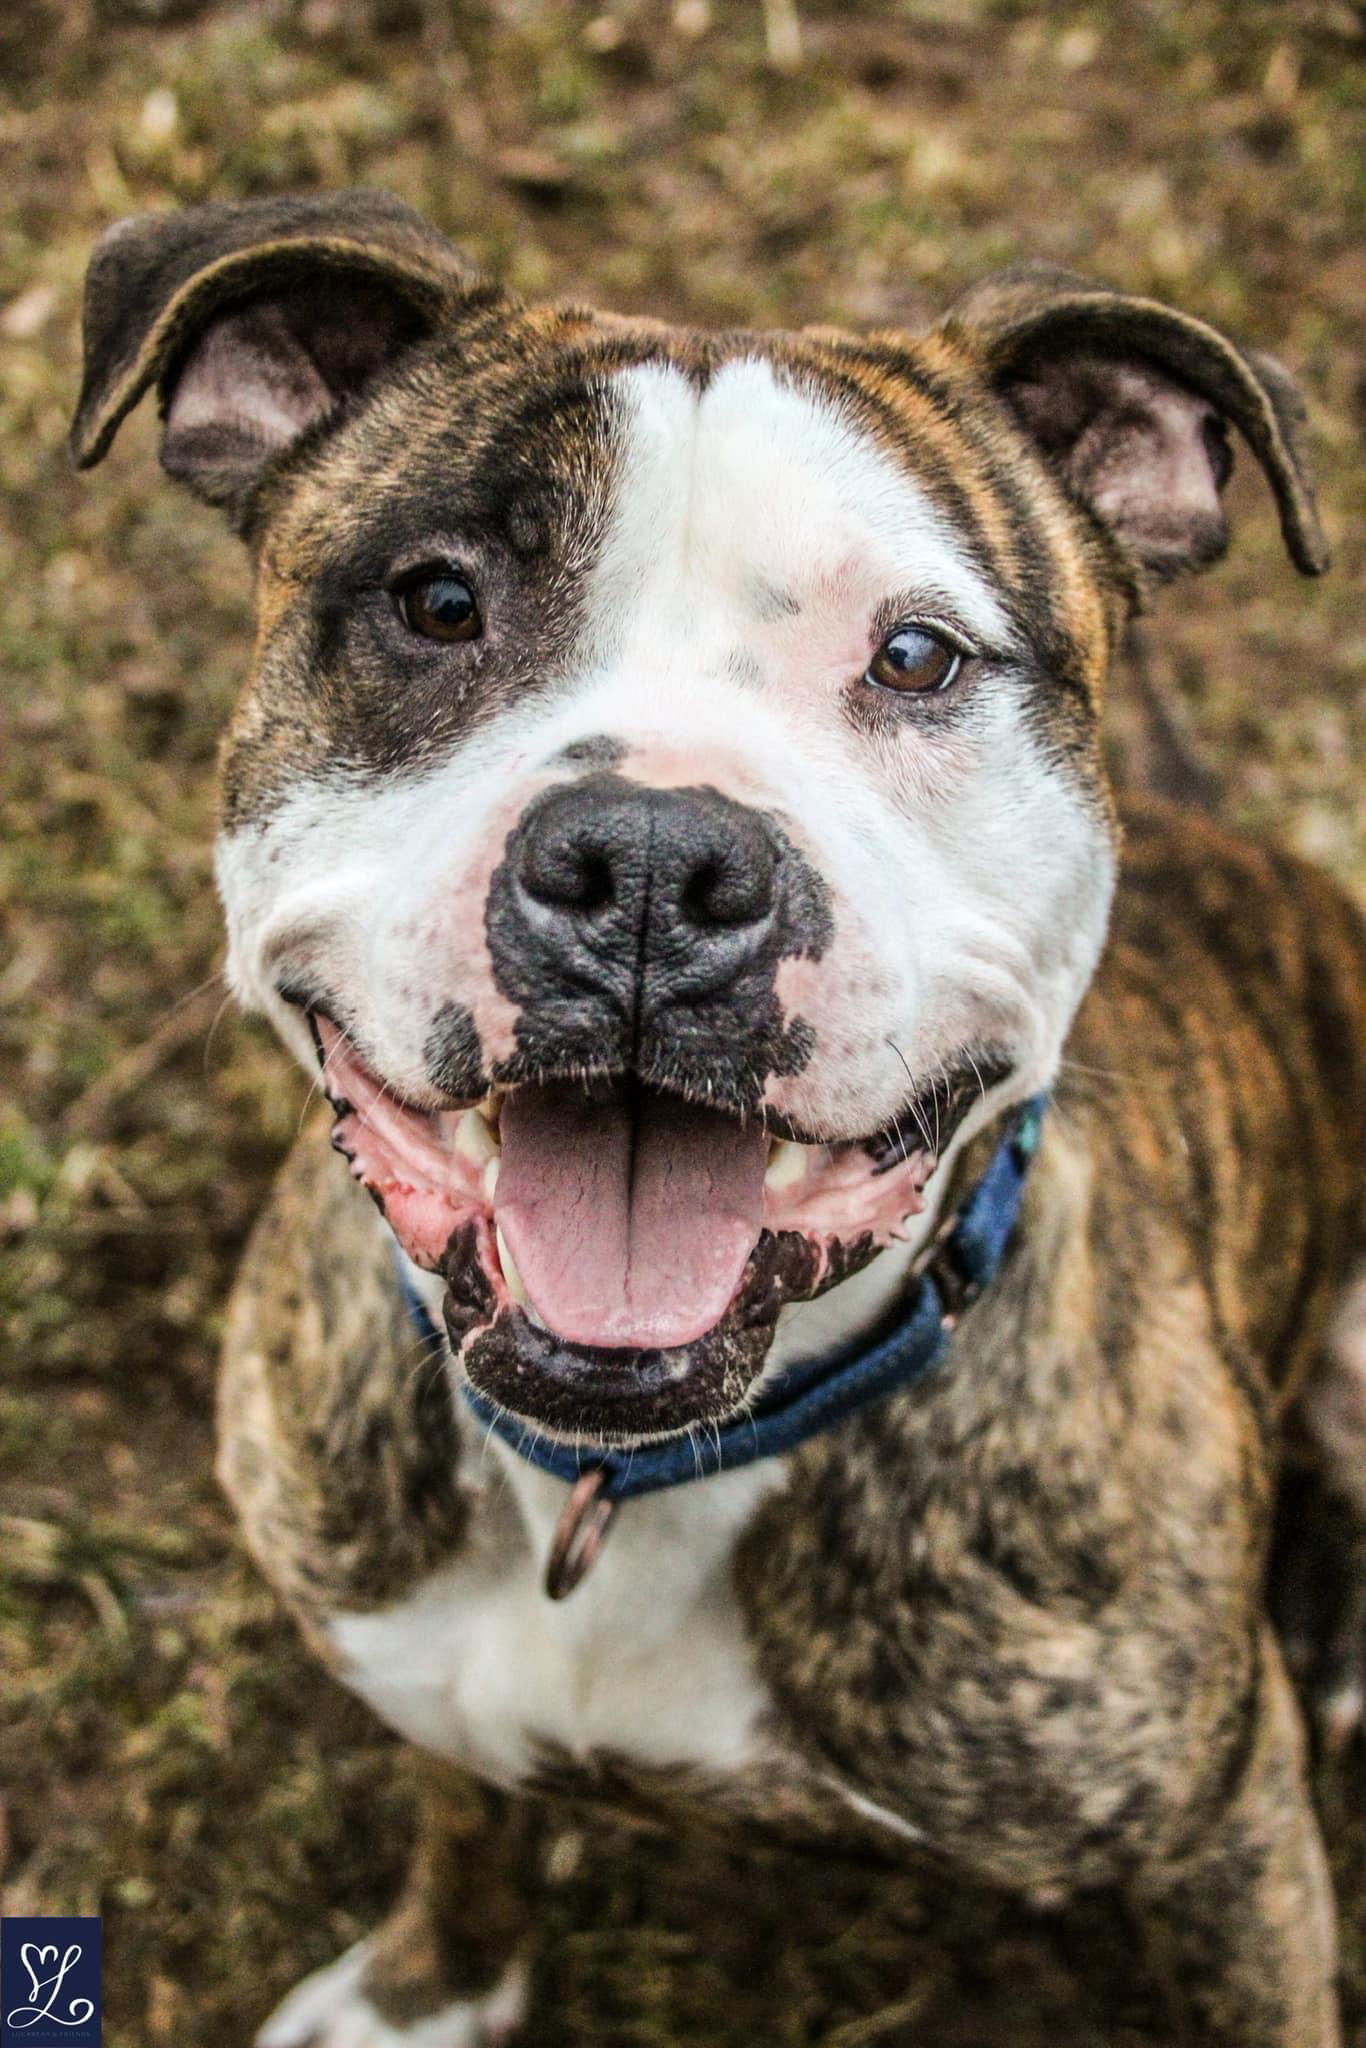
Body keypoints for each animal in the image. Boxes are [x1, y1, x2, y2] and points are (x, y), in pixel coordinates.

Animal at [74, 195, 1366, 2048]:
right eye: (437, 600)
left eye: (916, 656)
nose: (647, 864)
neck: (623, 1477)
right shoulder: (432, 1679)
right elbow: (469, 1822)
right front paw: (426, 1989)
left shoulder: (1223, 1843)